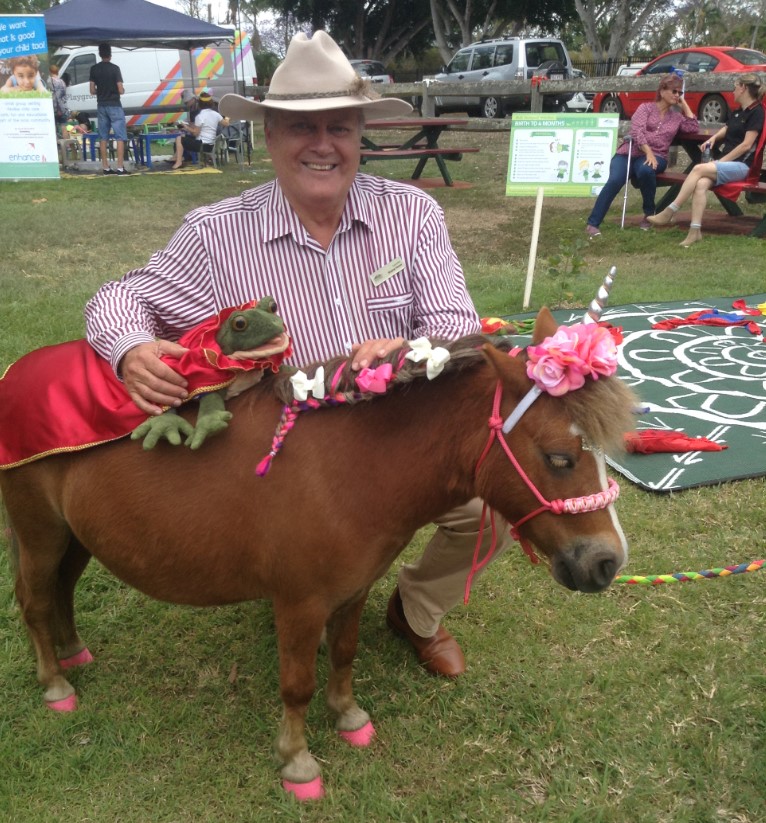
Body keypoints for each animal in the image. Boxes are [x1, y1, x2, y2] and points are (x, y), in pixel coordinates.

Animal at [0, 308, 636, 800]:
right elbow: (296, 685)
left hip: (75, 536)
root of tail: (16, 373)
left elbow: (346, 655)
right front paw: (297, 762)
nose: (606, 562)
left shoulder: (353, 590)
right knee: (34, 600)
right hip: (38, 531)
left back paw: (74, 654)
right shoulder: (300, 604)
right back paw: (55, 684)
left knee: (61, 591)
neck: (348, 469)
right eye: (558, 457)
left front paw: (348, 715)